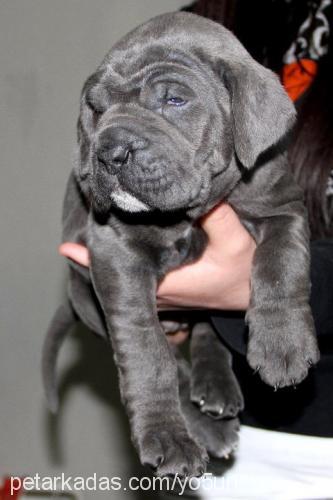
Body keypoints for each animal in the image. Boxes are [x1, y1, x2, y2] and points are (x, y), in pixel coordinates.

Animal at [42, 13, 320, 478]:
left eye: (174, 100)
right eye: (97, 109)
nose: (110, 151)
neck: (189, 212)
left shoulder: (281, 207)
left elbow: (280, 265)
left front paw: (283, 344)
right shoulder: (116, 253)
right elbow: (147, 352)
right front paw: (168, 439)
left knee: (207, 326)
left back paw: (217, 390)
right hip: (85, 297)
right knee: (175, 358)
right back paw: (207, 426)